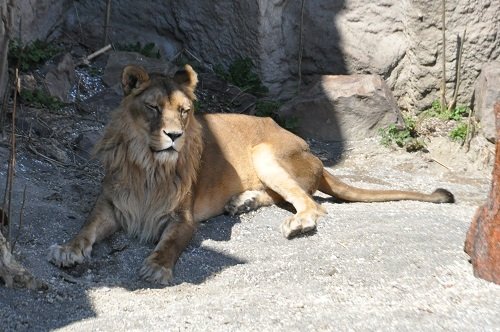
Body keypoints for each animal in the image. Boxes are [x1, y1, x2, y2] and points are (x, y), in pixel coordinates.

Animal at [47, 65, 454, 286]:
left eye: (184, 111)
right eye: (153, 108)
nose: (176, 136)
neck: (149, 165)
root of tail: (318, 158)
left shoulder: (182, 218)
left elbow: (171, 244)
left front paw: (157, 268)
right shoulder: (111, 203)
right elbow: (86, 227)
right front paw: (68, 250)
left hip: (265, 152)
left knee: (311, 204)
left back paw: (295, 223)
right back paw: (241, 202)